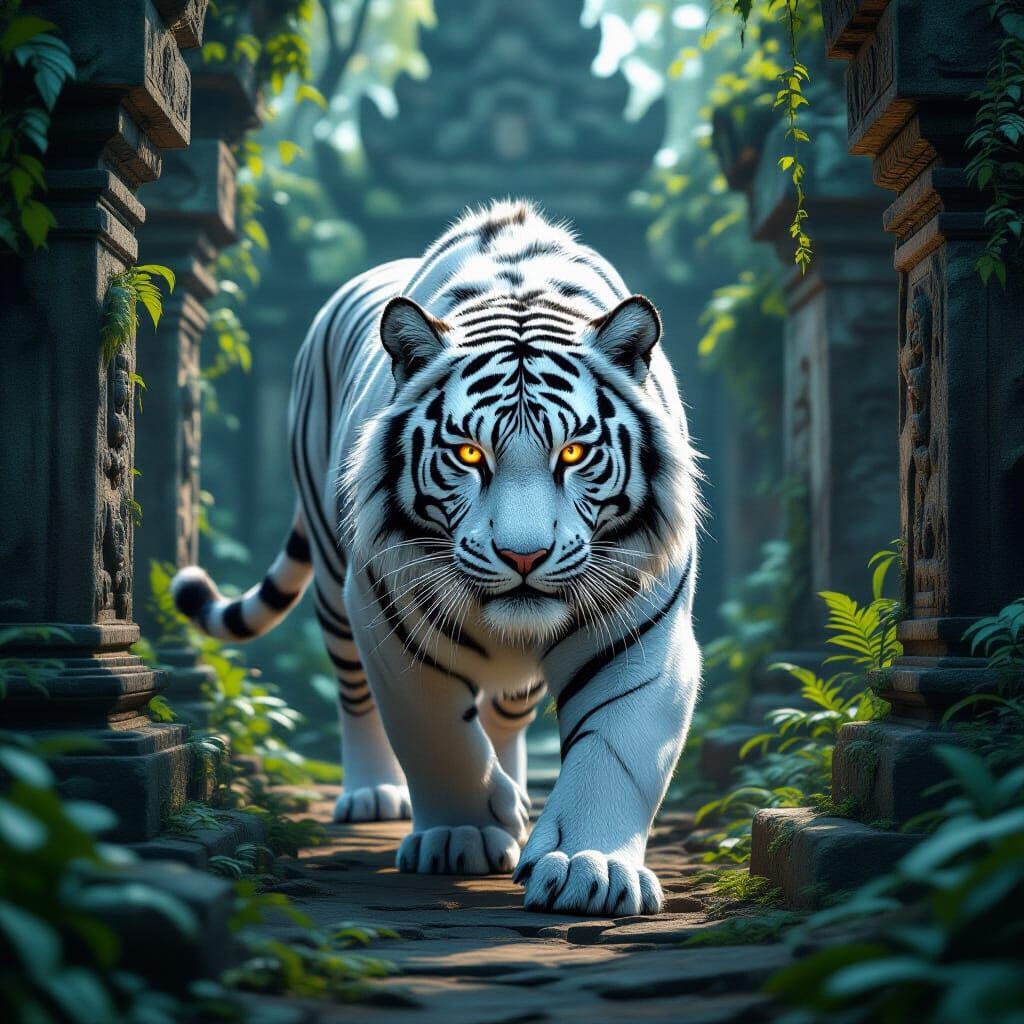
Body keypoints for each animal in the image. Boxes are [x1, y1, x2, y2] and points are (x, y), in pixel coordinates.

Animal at [172, 199, 702, 916]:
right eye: (469, 454)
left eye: (573, 452)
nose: (524, 555)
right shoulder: (385, 608)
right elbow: (435, 731)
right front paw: (463, 834)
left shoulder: (643, 622)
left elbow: (614, 747)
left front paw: (587, 866)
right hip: (333, 586)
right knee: (355, 697)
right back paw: (374, 794)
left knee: (506, 711)